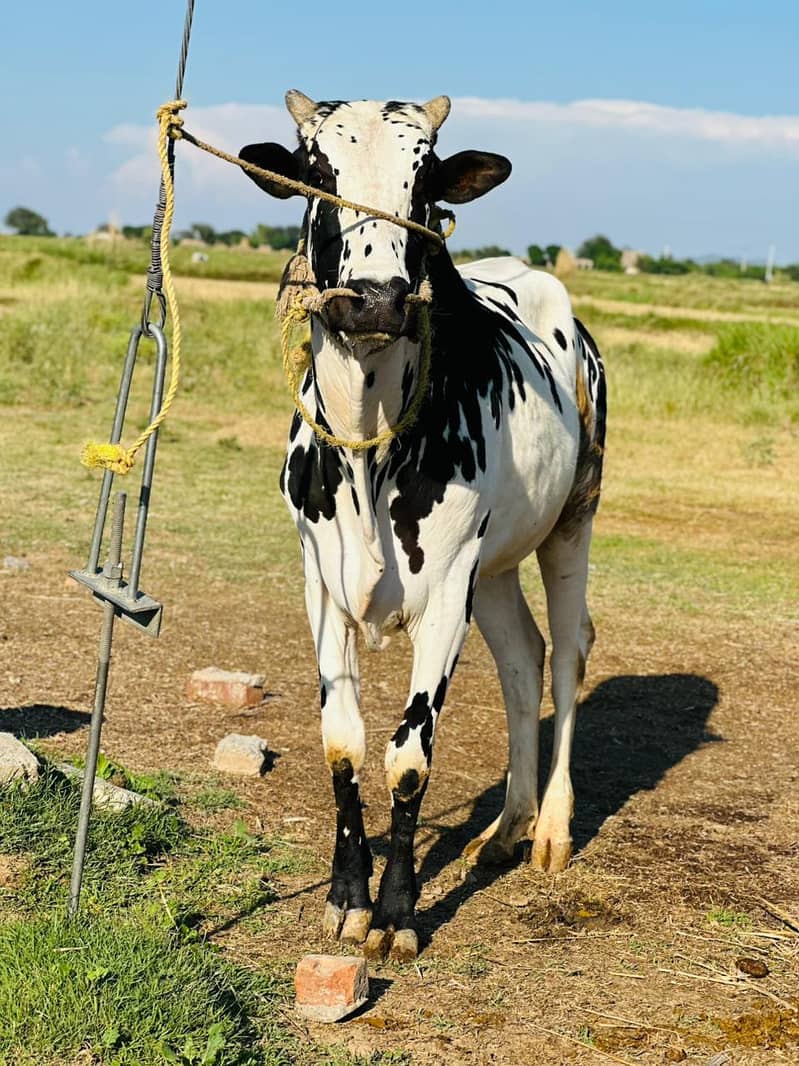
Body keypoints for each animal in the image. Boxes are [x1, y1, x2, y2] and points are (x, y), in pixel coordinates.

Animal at [239, 90, 606, 962]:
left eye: (423, 179)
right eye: (316, 170)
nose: (375, 299)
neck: (370, 441)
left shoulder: (443, 596)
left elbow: (407, 756)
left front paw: (399, 911)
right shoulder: (320, 586)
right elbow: (342, 740)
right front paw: (348, 898)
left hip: (571, 520)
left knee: (567, 654)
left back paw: (548, 828)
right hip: (496, 565)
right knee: (522, 659)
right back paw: (504, 828)